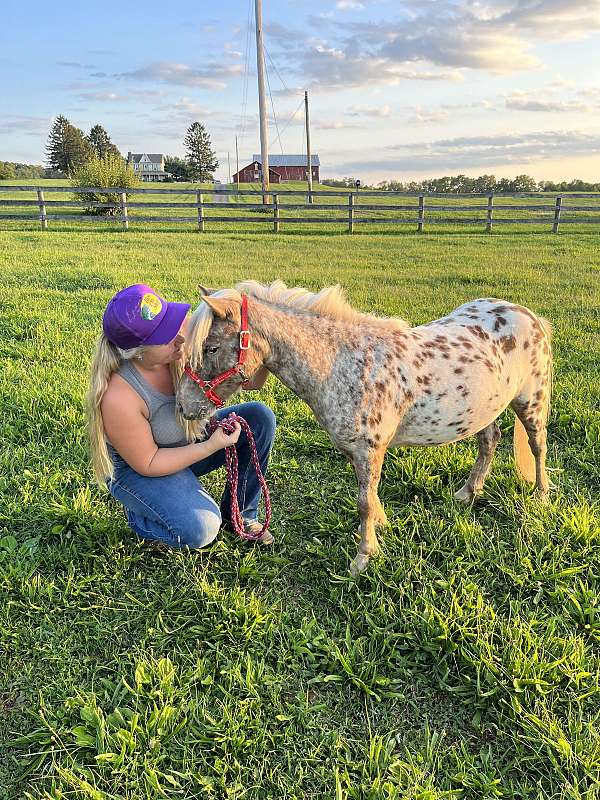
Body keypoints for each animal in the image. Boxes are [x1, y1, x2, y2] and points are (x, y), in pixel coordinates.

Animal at [176, 282, 552, 576]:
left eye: (211, 347)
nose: (184, 406)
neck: (344, 365)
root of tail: (529, 316)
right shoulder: (357, 452)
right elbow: (369, 497)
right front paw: (381, 529)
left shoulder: (369, 450)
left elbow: (364, 503)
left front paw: (363, 559)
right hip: (482, 410)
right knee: (489, 442)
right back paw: (467, 493)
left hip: (530, 402)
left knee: (538, 446)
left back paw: (541, 497)